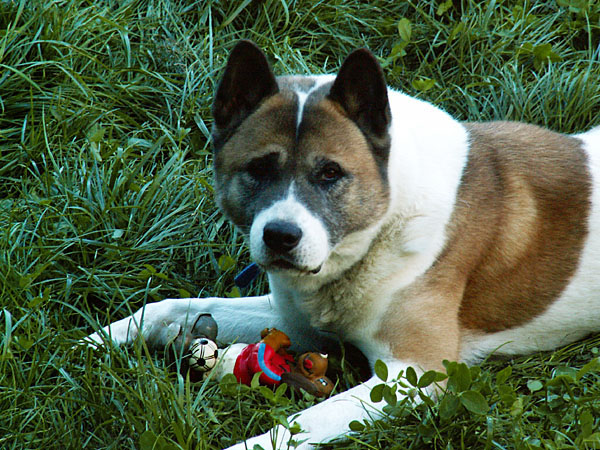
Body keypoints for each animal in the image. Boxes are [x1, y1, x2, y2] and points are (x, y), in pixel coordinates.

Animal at [87, 40, 600, 449]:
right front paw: (95, 342)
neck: (382, 223)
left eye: (330, 173)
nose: (281, 236)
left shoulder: (413, 374)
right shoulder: (296, 321)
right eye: (259, 168)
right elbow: (172, 306)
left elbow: (299, 425)